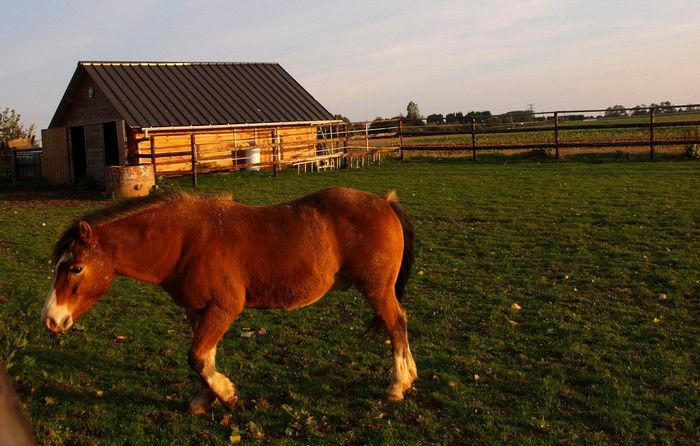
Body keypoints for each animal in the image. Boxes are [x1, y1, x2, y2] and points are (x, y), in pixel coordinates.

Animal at [41, 187, 417, 414]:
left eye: (75, 268)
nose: (50, 319)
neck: (184, 241)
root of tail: (384, 202)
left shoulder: (224, 309)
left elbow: (196, 357)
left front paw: (226, 393)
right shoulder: (199, 312)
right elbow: (204, 357)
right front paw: (204, 398)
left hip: (377, 290)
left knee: (396, 325)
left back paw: (397, 385)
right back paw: (410, 376)